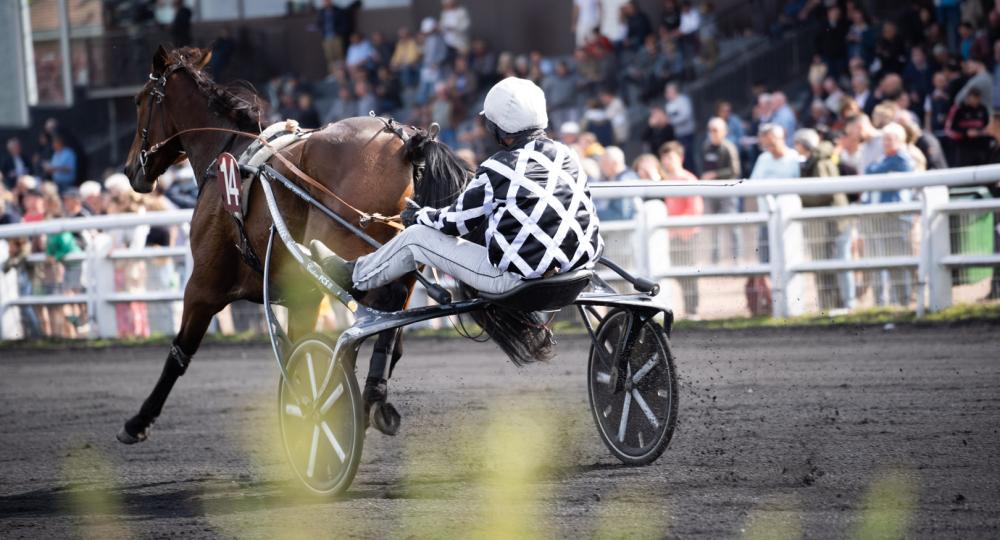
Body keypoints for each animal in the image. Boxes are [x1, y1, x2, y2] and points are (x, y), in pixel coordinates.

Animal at [114, 46, 468, 442]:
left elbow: (179, 352)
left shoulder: (203, 285)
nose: (131, 170)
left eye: (140, 100)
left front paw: (139, 420)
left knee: (379, 306)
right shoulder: (303, 297)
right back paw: (369, 398)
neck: (229, 157)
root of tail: (407, 144)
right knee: (391, 321)